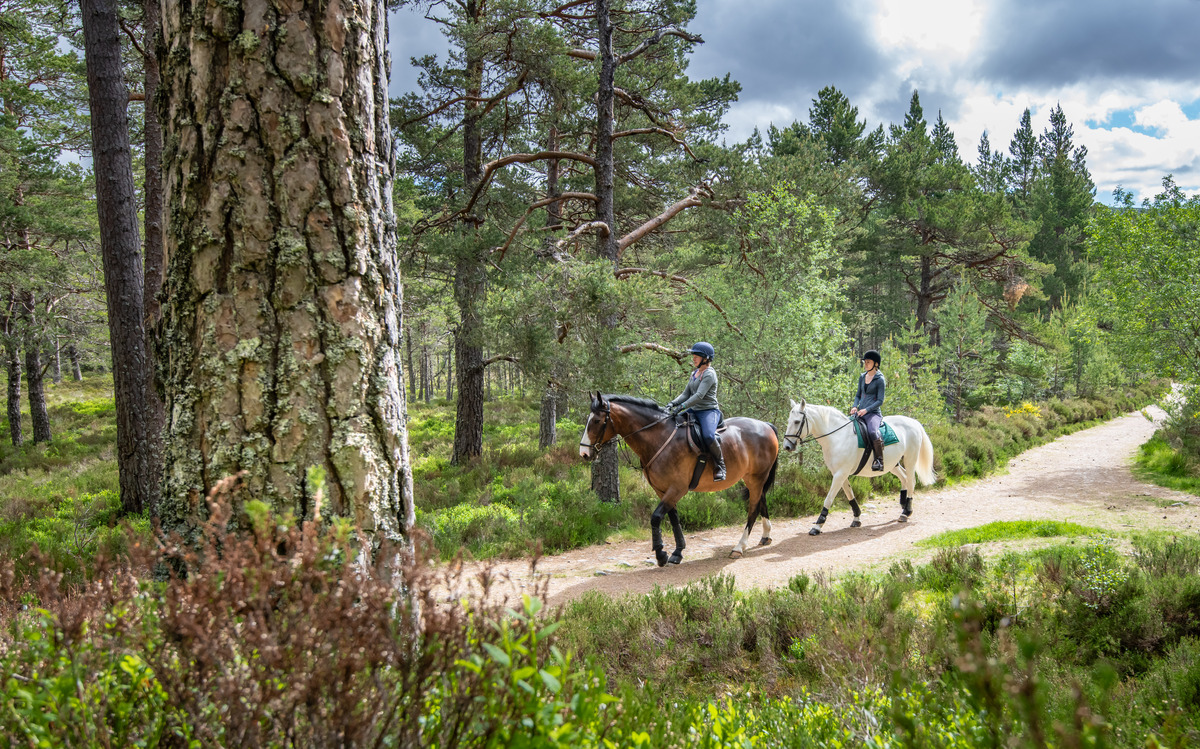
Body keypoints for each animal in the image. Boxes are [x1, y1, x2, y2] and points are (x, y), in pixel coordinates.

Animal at [578, 396, 782, 564]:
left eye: (596, 421)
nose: (584, 453)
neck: (659, 439)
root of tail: (765, 425)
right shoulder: (663, 490)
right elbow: (674, 519)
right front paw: (677, 552)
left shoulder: (677, 488)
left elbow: (656, 517)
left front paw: (661, 554)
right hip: (753, 478)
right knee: (761, 500)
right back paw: (765, 536)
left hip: (757, 477)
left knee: (753, 509)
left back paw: (739, 547)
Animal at [777, 398, 936, 532]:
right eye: (789, 420)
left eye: (797, 422)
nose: (787, 446)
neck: (837, 437)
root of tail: (914, 422)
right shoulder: (840, 473)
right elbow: (850, 495)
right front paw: (857, 518)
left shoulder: (840, 474)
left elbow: (829, 498)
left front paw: (818, 525)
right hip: (892, 464)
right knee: (904, 478)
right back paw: (903, 506)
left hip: (910, 458)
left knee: (911, 481)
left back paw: (906, 511)